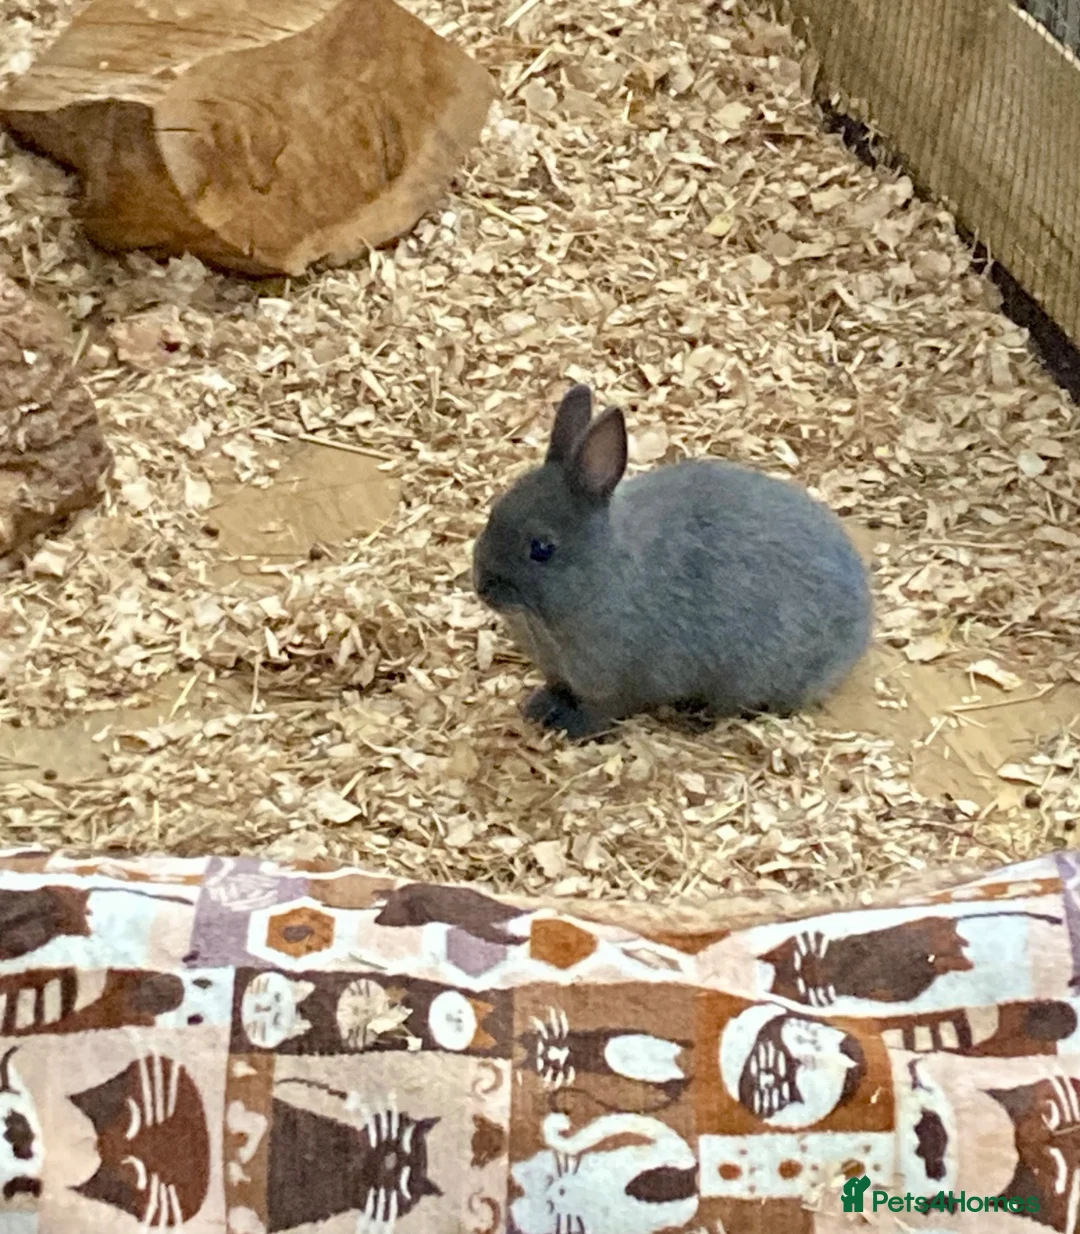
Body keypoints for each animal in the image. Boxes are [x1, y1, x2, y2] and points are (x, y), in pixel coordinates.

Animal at [472, 384, 873, 739]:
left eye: (542, 548)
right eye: (493, 513)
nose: (482, 587)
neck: (605, 570)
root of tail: (862, 627)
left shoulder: (617, 685)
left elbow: (602, 710)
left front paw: (571, 727)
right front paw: (538, 707)